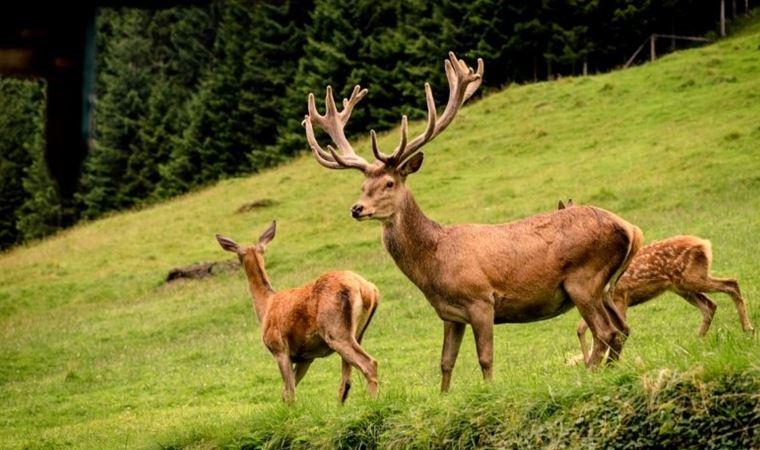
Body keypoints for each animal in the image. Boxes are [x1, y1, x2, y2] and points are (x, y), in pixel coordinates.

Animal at [214, 223, 380, 402]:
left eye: (238, 255)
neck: (266, 306)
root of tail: (368, 290)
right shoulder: (306, 357)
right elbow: (287, 390)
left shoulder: (279, 347)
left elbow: (289, 392)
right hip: (358, 333)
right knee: (346, 382)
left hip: (335, 330)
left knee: (369, 364)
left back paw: (373, 402)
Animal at [302, 51, 640, 390]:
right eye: (363, 185)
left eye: (389, 183)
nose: (357, 209)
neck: (435, 263)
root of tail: (629, 229)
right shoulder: (450, 315)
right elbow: (445, 363)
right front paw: (444, 396)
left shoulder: (481, 300)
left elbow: (485, 358)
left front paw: (489, 391)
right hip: (604, 286)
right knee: (621, 329)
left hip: (583, 278)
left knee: (605, 331)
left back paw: (590, 375)